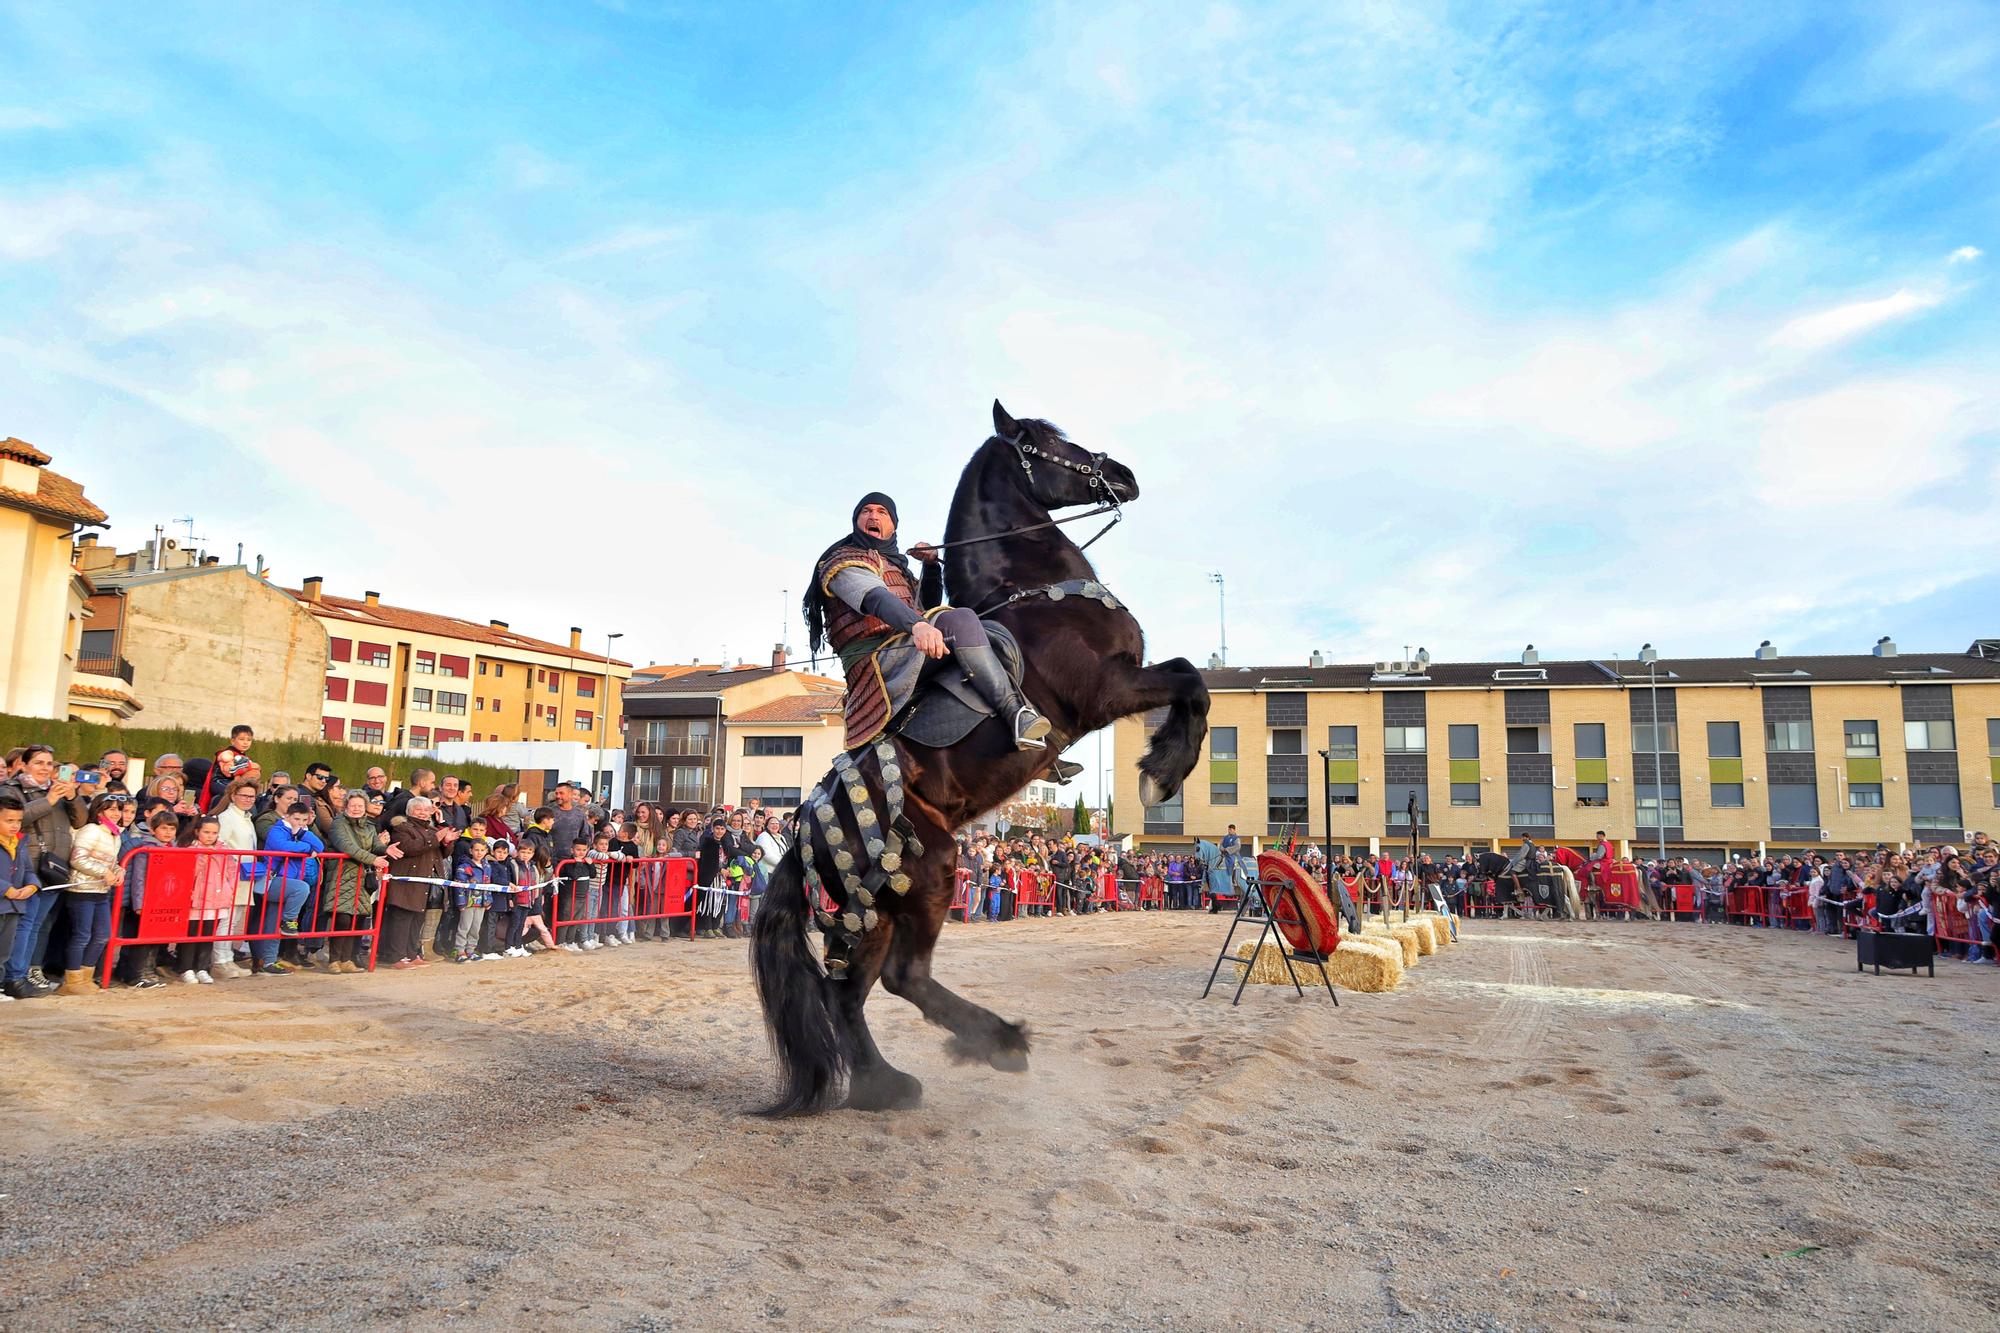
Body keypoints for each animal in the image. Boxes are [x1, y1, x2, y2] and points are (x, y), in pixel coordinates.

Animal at [756, 396, 1208, 1112]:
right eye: (1045, 441)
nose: (1122, 474)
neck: (1034, 588)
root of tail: (801, 829)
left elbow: (1193, 680)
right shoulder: (1105, 690)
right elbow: (1193, 680)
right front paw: (1162, 774)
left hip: (879, 903)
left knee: (848, 992)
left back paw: (887, 1083)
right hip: (934, 868)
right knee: (902, 978)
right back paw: (998, 1041)